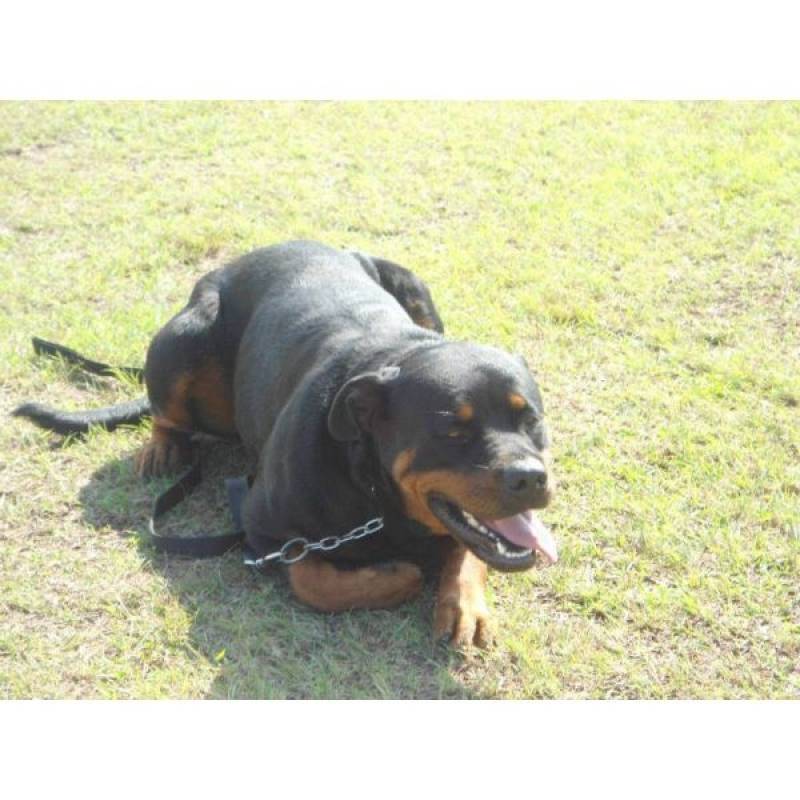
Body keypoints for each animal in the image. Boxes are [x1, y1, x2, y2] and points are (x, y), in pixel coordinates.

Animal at [17, 241, 556, 648]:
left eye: (532, 419)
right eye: (451, 431)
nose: (530, 478)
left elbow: (470, 547)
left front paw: (464, 606)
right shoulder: (262, 529)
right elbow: (314, 579)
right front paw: (399, 573)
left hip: (409, 281)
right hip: (183, 337)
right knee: (165, 409)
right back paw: (163, 447)